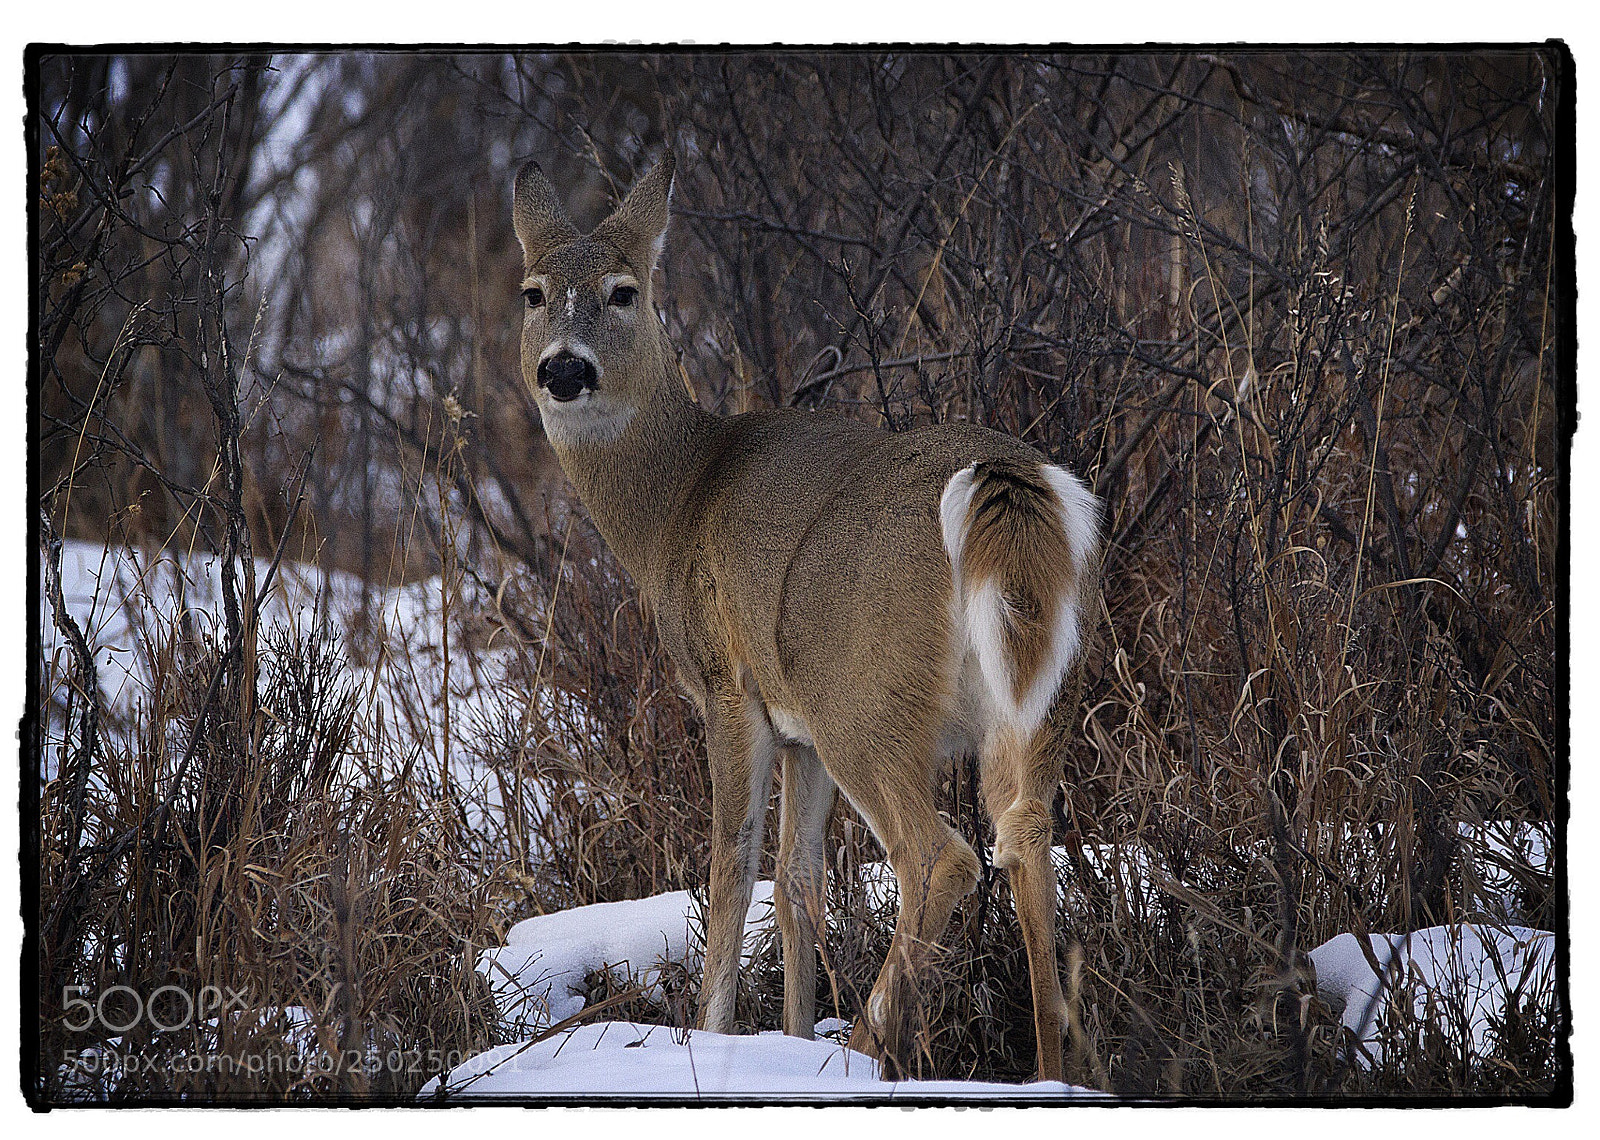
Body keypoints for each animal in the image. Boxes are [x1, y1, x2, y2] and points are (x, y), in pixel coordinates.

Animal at [510, 152, 1101, 1083]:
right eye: (533, 291)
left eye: (623, 291)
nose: (564, 370)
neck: (675, 502)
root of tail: (1004, 488)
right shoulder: (798, 735)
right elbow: (799, 884)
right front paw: (785, 1033)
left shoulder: (729, 684)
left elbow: (731, 866)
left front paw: (716, 1038)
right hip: (1040, 698)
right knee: (1024, 836)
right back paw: (1045, 1073)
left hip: (862, 695)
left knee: (941, 856)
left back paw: (860, 1052)